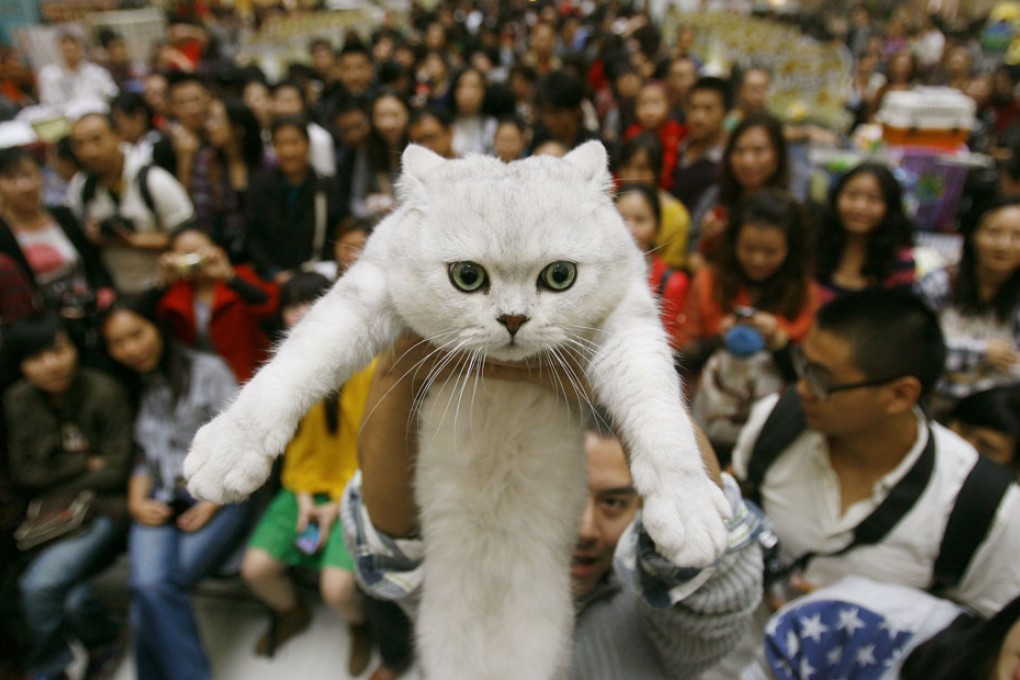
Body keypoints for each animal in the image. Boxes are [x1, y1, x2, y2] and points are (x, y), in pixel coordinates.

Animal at [185, 143, 734, 680]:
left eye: (560, 276)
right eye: (467, 277)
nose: (513, 319)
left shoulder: (629, 324)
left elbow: (658, 413)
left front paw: (688, 507)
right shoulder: (367, 291)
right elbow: (300, 360)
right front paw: (228, 448)